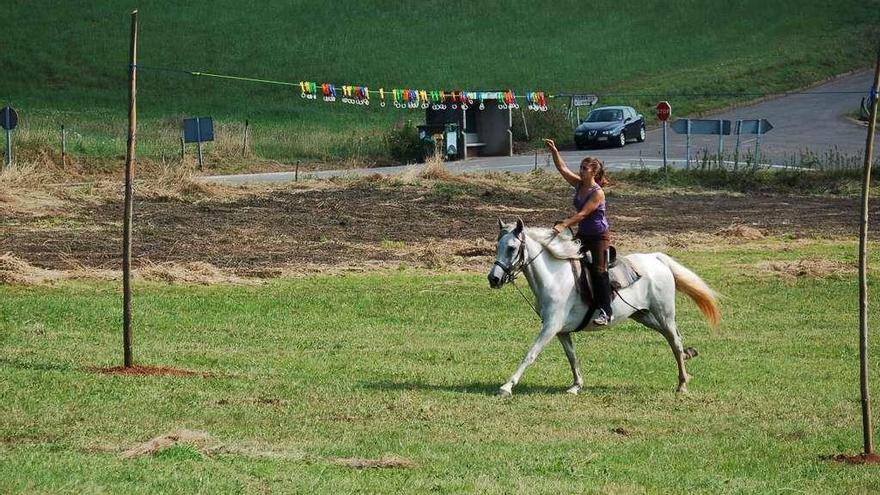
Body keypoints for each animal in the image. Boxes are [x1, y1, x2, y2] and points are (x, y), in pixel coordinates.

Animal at [488, 219, 720, 398]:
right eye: (497, 246)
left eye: (511, 248)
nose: (493, 279)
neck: (555, 277)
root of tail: (657, 258)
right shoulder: (561, 330)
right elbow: (572, 356)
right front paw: (576, 386)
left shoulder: (551, 327)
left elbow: (531, 354)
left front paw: (507, 386)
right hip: (645, 316)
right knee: (675, 340)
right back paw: (688, 362)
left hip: (665, 315)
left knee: (675, 343)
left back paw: (682, 384)